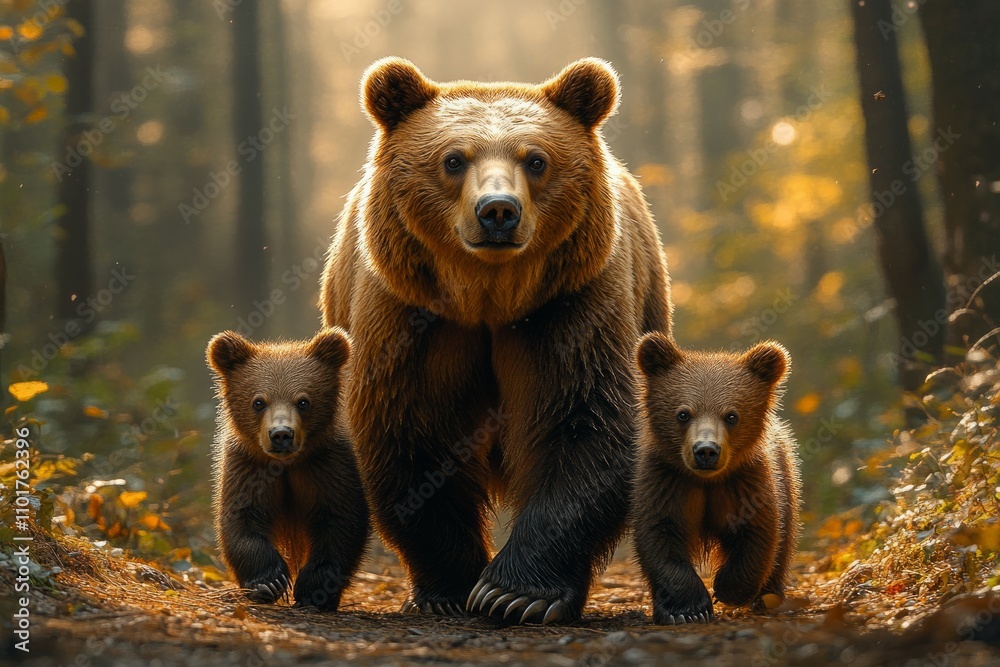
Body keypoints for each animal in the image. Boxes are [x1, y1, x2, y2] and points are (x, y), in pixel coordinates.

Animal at [206, 328, 370, 611]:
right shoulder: (249, 467)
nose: (281, 434)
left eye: (303, 401)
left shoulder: (326, 465)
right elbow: (242, 519)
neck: (286, 465)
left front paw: (314, 590)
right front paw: (269, 582)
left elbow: (342, 520)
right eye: (258, 402)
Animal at [319, 57, 672, 625]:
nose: (498, 211)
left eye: (537, 160)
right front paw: (449, 586)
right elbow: (413, 431)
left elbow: (583, 423)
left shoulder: (568, 307)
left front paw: (516, 593)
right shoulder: (413, 315)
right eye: (453, 159)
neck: (487, 297)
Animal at [631, 332, 801, 624]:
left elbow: (758, 534)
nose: (706, 451)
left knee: (785, 539)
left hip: (787, 475)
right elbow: (661, 536)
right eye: (683, 413)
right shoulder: (668, 481)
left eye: (731, 415)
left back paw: (769, 597)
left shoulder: (743, 483)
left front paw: (727, 589)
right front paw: (688, 610)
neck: (706, 481)